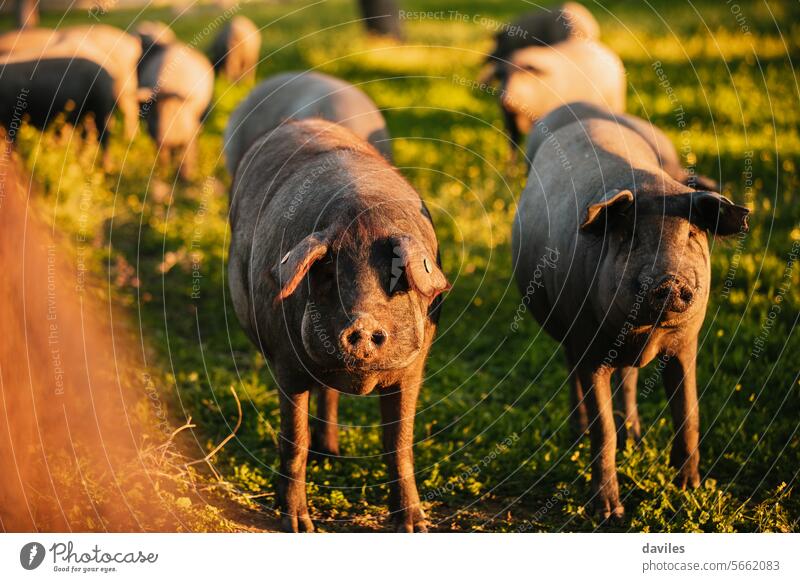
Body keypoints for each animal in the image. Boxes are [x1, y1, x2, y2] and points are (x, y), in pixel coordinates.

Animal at [494, 37, 624, 154]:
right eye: (502, 76)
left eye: (524, 73)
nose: (506, 101)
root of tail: (603, 48)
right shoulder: (510, 123)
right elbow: (513, 147)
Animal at [512, 116, 752, 524]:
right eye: (631, 236)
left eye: (691, 233)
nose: (668, 281)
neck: (646, 335)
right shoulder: (588, 345)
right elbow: (602, 429)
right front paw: (610, 513)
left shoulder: (686, 343)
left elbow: (688, 413)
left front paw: (690, 489)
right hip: (567, 332)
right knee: (574, 373)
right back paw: (579, 433)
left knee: (629, 377)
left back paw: (635, 439)